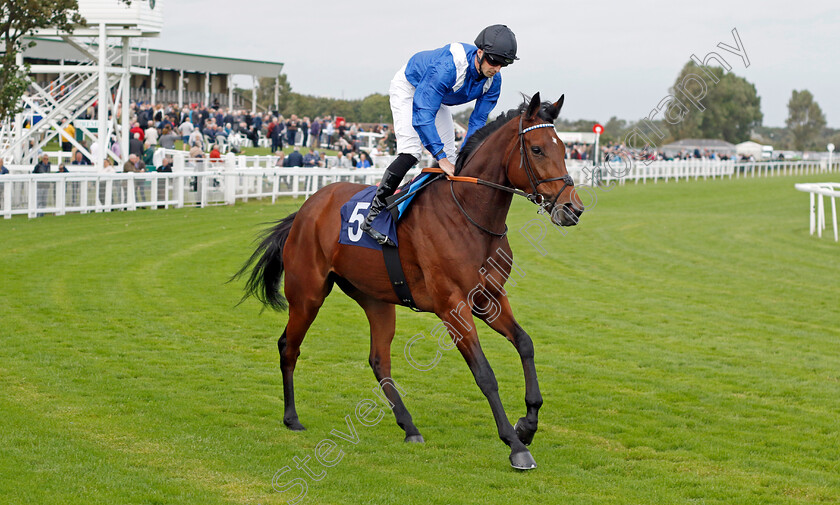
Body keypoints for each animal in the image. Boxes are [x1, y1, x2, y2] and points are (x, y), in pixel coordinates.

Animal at [233, 93, 580, 468]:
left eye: (564, 148)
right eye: (537, 149)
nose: (573, 209)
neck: (469, 215)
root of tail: (306, 209)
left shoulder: (489, 297)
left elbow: (525, 343)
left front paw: (527, 424)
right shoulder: (452, 306)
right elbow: (484, 373)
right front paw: (516, 446)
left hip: (375, 299)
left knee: (378, 359)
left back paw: (409, 426)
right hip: (308, 293)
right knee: (289, 346)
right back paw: (292, 417)